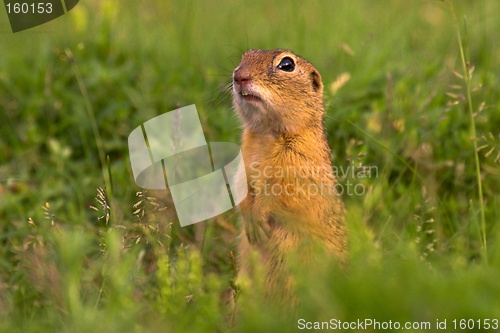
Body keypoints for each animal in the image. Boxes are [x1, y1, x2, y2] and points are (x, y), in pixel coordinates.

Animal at [232, 48, 346, 304]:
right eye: (244, 56)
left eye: (287, 64)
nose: (238, 76)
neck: (266, 133)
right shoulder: (243, 164)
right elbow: (241, 189)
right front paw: (250, 221)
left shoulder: (297, 167)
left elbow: (281, 196)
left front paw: (258, 220)